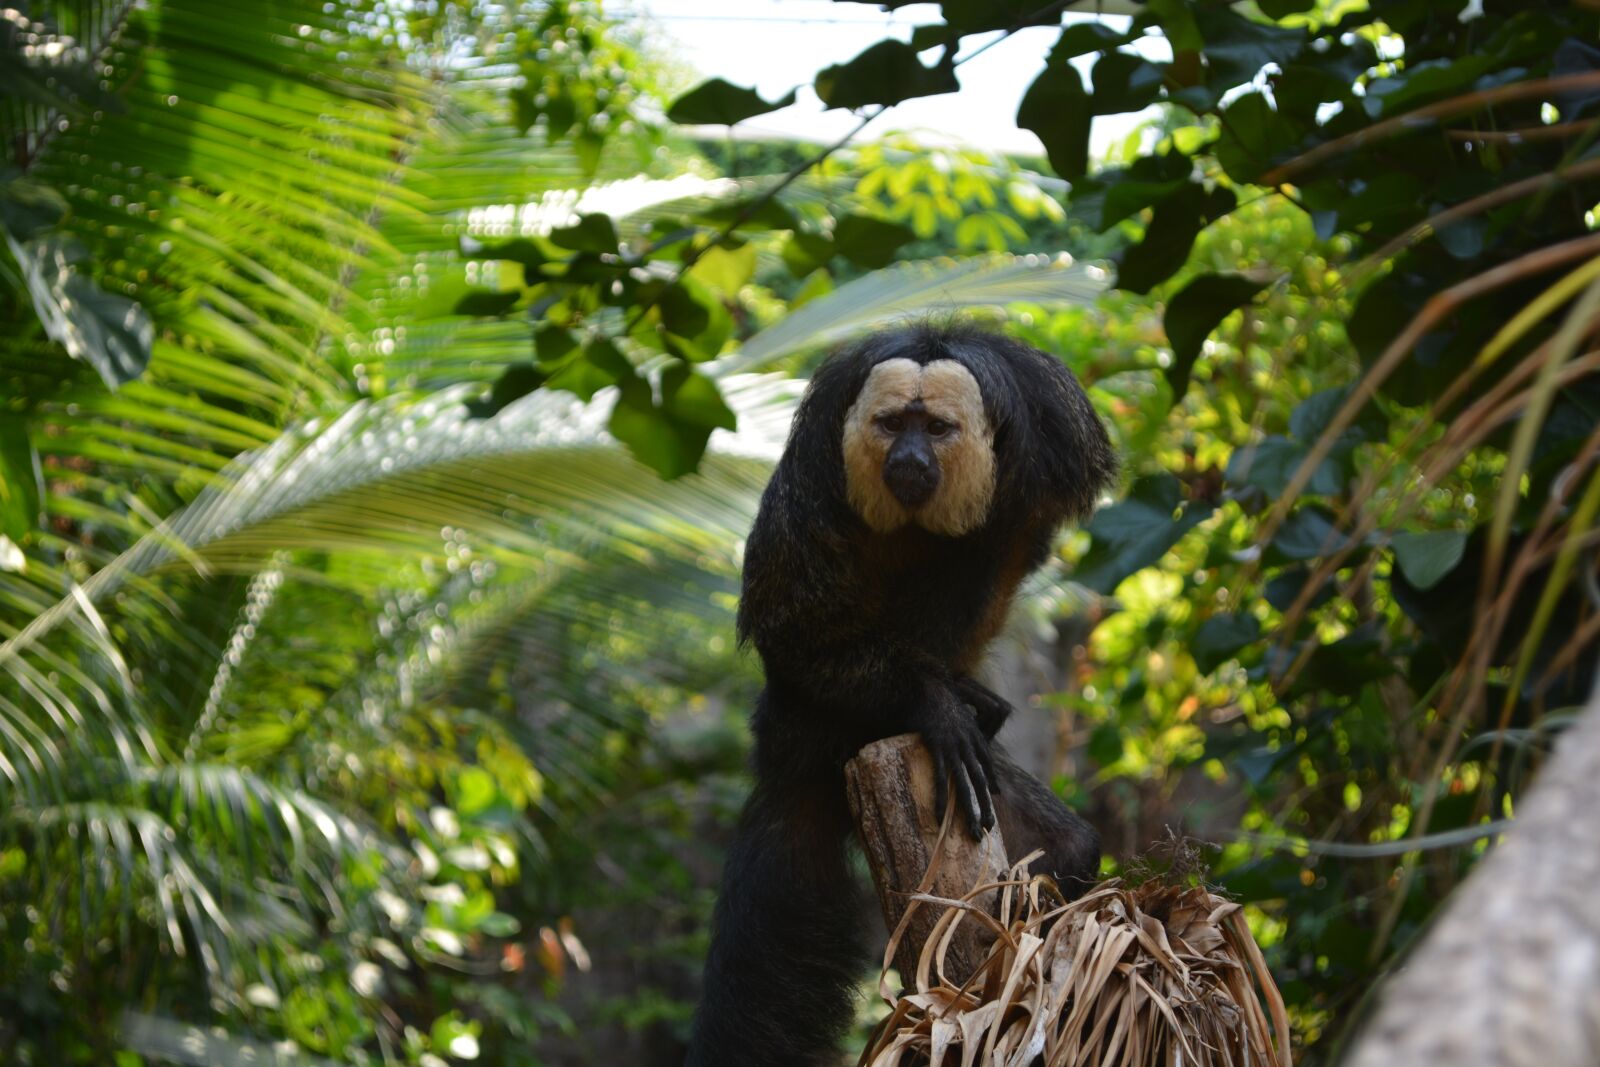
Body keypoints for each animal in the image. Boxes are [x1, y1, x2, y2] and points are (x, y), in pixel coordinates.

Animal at [684, 323, 1116, 1067]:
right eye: (891, 425)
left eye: (935, 428)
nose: (909, 457)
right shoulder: (811, 487)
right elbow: (793, 630)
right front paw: (933, 701)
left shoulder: (1054, 432)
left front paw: (958, 687)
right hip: (815, 719)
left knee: (1060, 847)